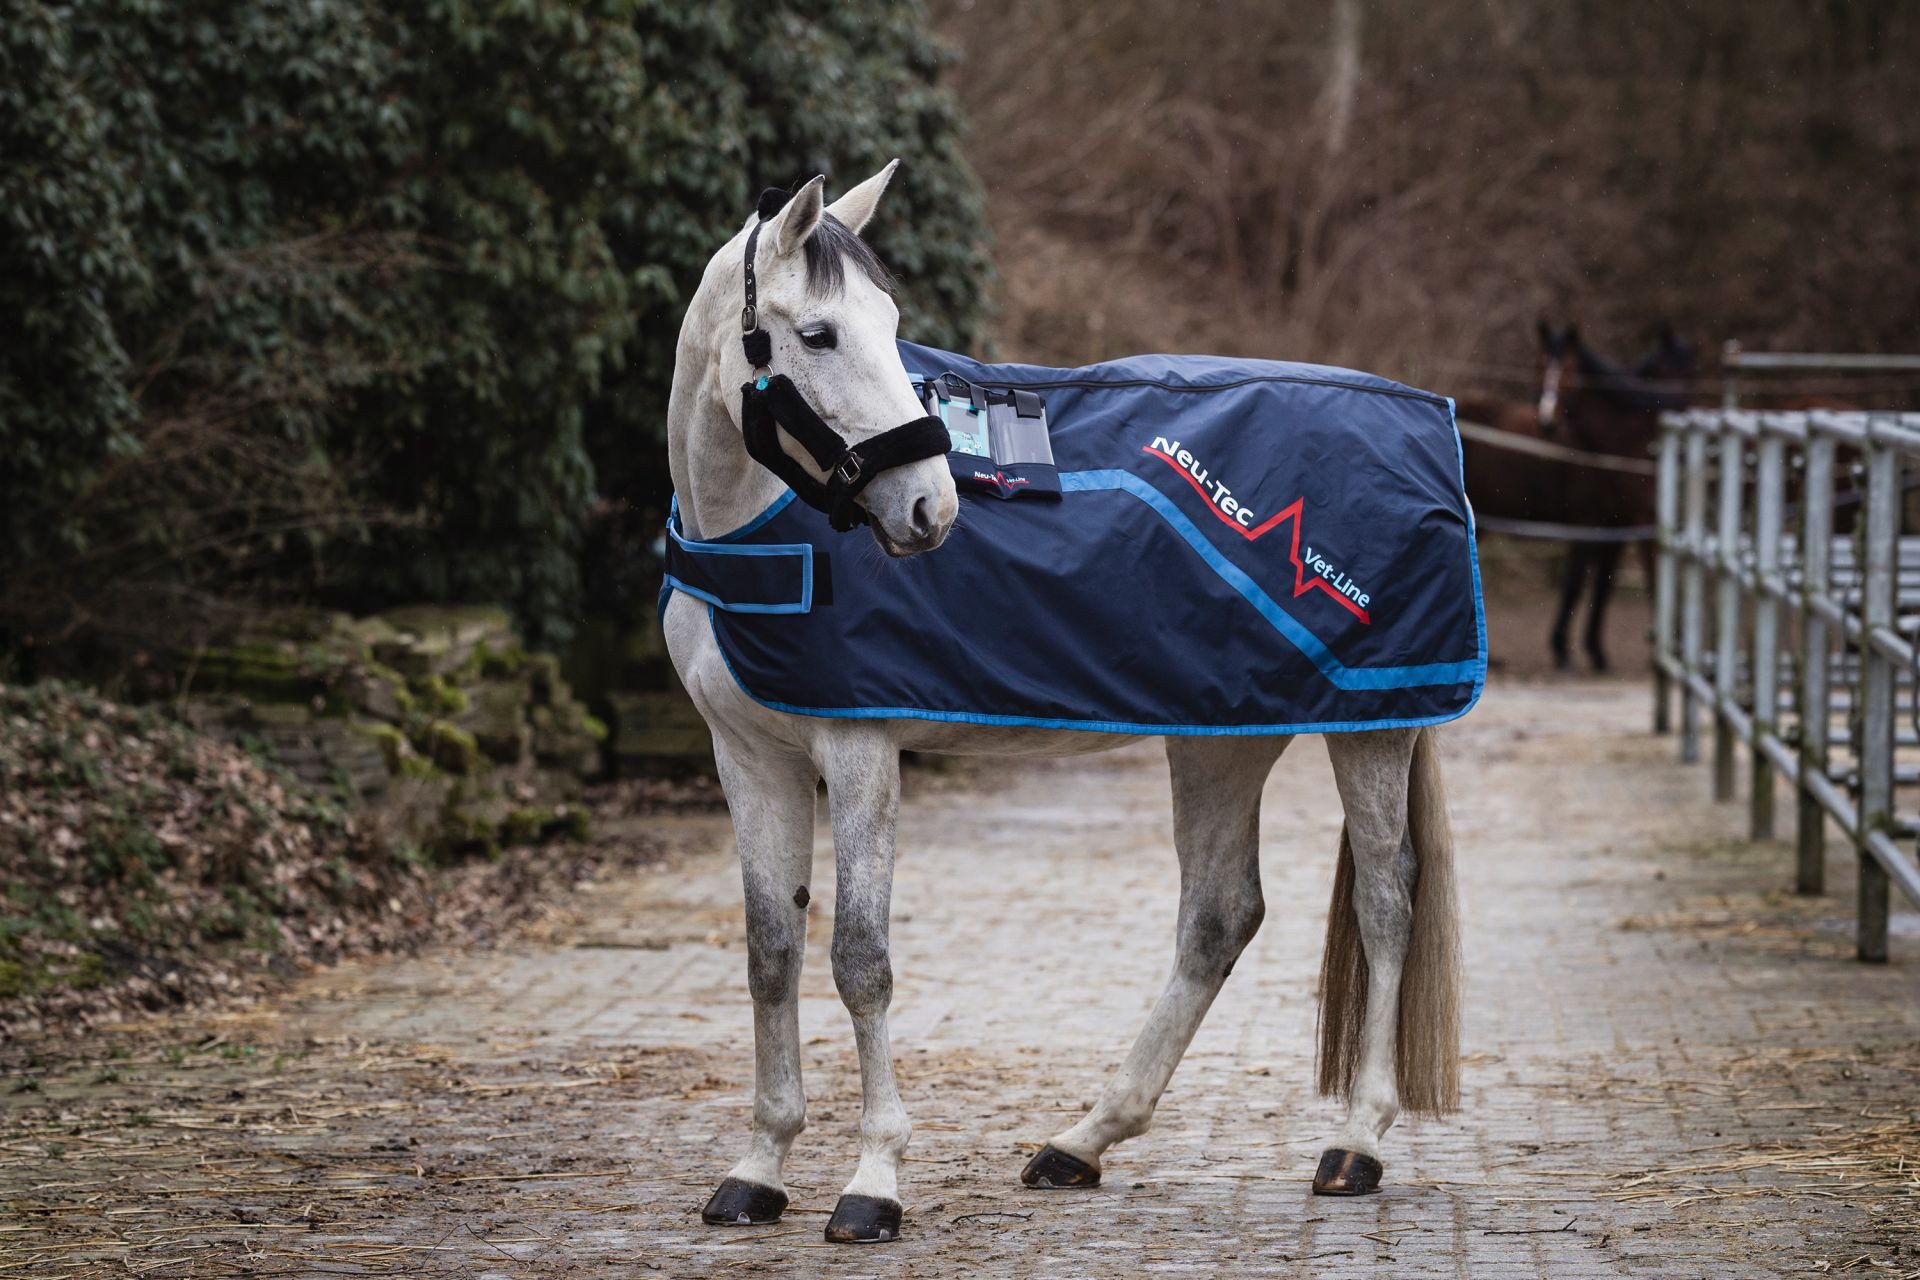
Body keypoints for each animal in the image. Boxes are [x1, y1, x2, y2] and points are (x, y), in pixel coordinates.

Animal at [662, 163, 1464, 1244]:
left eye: (891, 322)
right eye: (821, 334)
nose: (932, 510)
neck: (762, 530)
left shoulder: (858, 752)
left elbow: (860, 959)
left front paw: (873, 1182)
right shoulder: (750, 757)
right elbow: (771, 954)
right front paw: (758, 1167)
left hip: (1373, 731)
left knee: (1386, 904)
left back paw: (1358, 1142)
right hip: (1221, 736)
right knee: (1219, 918)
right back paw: (1082, 1140)